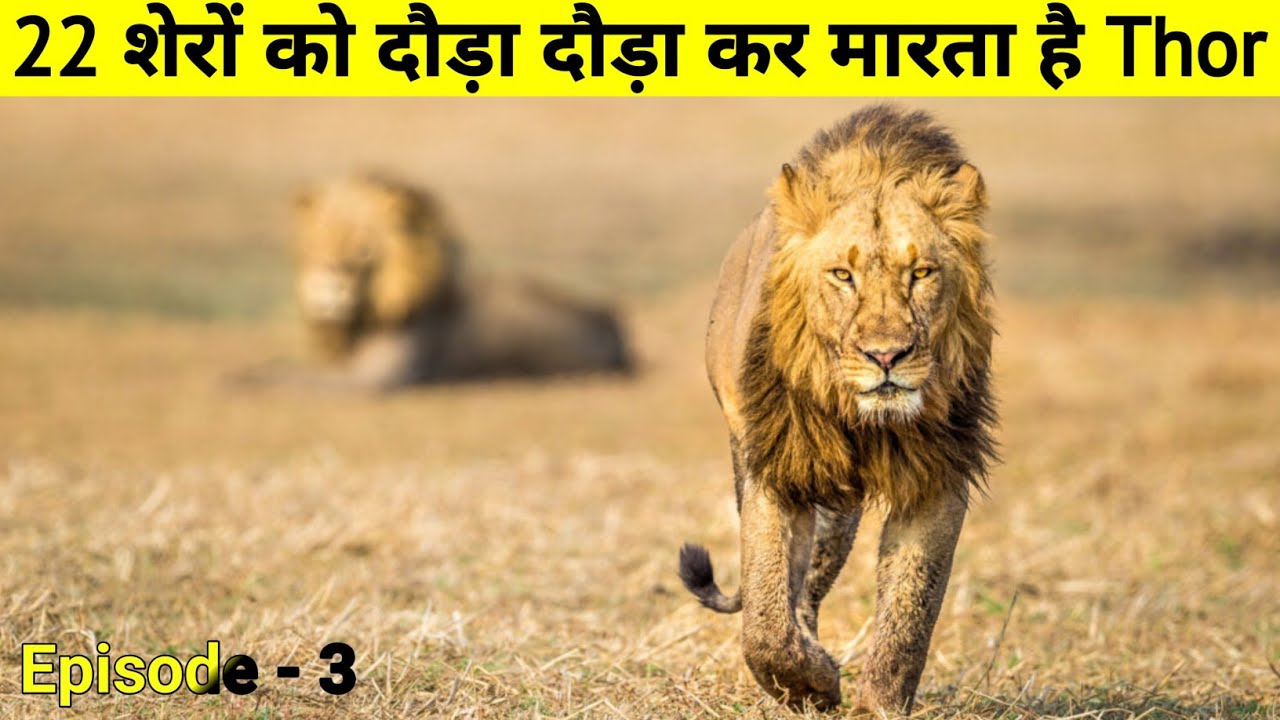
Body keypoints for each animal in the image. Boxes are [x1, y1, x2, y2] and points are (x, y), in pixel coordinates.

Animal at [279, 173, 632, 390]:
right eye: (317, 242)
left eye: (364, 248)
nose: (326, 283)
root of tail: (609, 318)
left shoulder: (376, 378)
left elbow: (280, 377)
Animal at [678, 106, 997, 715]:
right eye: (842, 276)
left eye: (921, 273)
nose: (887, 355)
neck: (868, 422)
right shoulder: (776, 466)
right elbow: (764, 614)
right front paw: (810, 684)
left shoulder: (938, 474)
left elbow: (909, 612)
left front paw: (877, 704)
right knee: (786, 591)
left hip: (837, 510)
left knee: (810, 589)